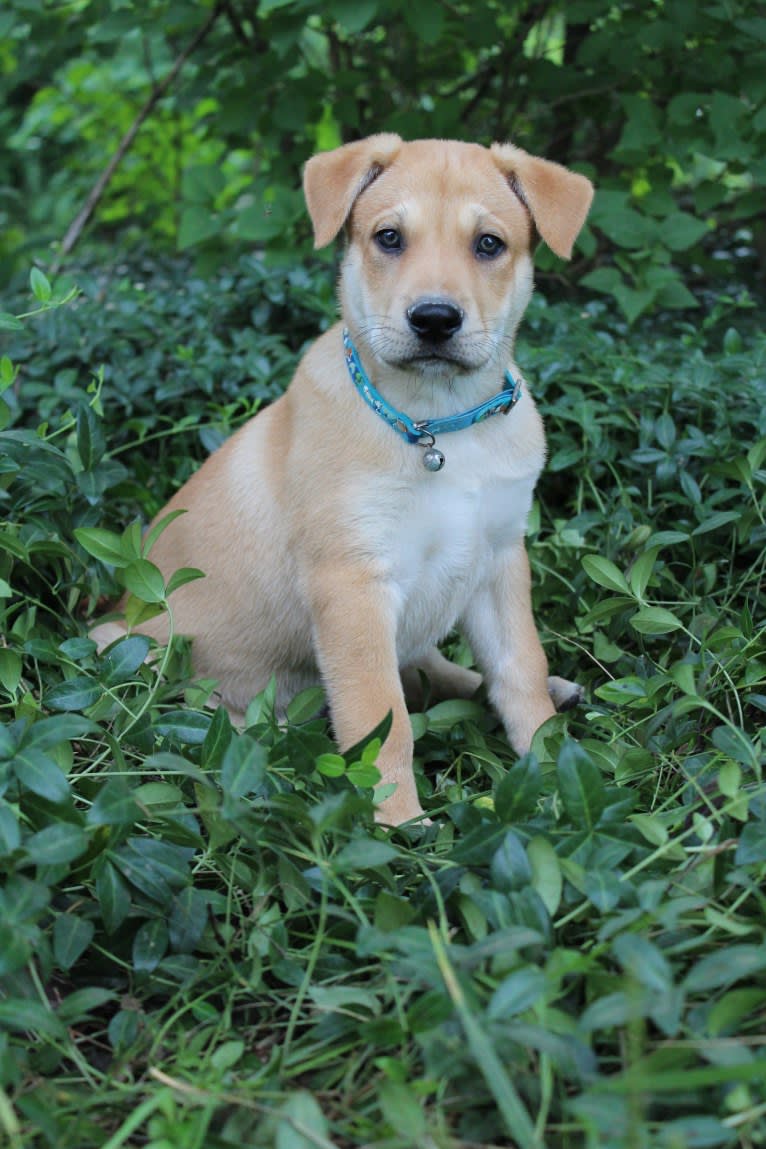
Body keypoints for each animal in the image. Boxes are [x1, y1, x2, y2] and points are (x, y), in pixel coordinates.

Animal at [90, 134, 592, 827]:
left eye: (489, 244)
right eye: (389, 238)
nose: (434, 319)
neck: (440, 424)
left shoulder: (498, 560)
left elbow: (517, 669)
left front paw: (548, 773)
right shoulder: (352, 584)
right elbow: (382, 716)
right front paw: (399, 824)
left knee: (444, 671)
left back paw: (557, 690)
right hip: (132, 654)